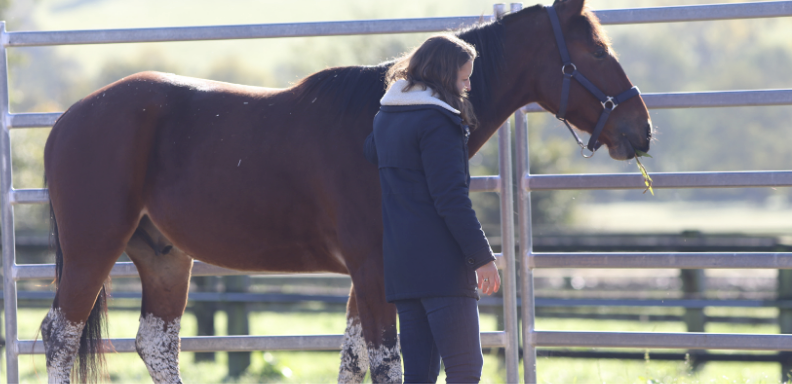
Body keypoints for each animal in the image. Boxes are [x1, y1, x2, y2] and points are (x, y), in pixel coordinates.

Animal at [40, 0, 652, 380]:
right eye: (597, 52)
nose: (641, 130)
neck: (378, 120)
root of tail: (68, 119)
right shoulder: (374, 270)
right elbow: (384, 361)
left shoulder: (369, 274)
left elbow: (353, 360)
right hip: (93, 250)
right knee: (60, 336)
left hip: (164, 256)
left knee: (156, 345)